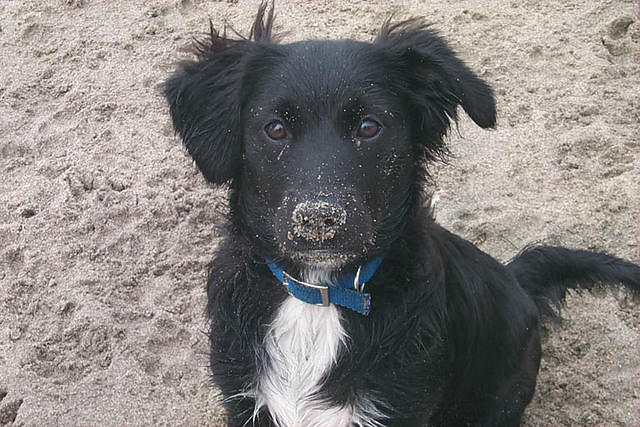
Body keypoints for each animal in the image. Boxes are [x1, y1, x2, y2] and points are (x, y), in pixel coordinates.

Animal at [165, 4, 640, 427]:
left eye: (369, 127)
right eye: (275, 129)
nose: (319, 220)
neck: (320, 296)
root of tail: (515, 280)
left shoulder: (401, 406)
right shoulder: (245, 401)